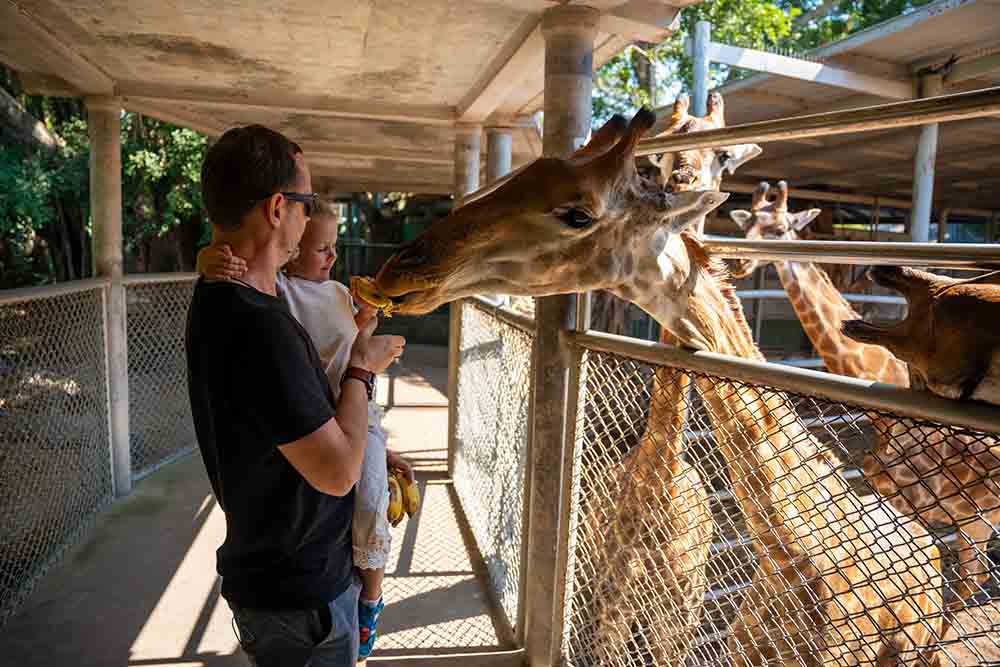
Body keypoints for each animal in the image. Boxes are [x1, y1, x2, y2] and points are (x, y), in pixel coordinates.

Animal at [728, 181, 1000, 604]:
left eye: (780, 229)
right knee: (973, 577)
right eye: (747, 226)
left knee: (972, 578)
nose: (740, 263)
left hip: (978, 517)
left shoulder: (917, 503)